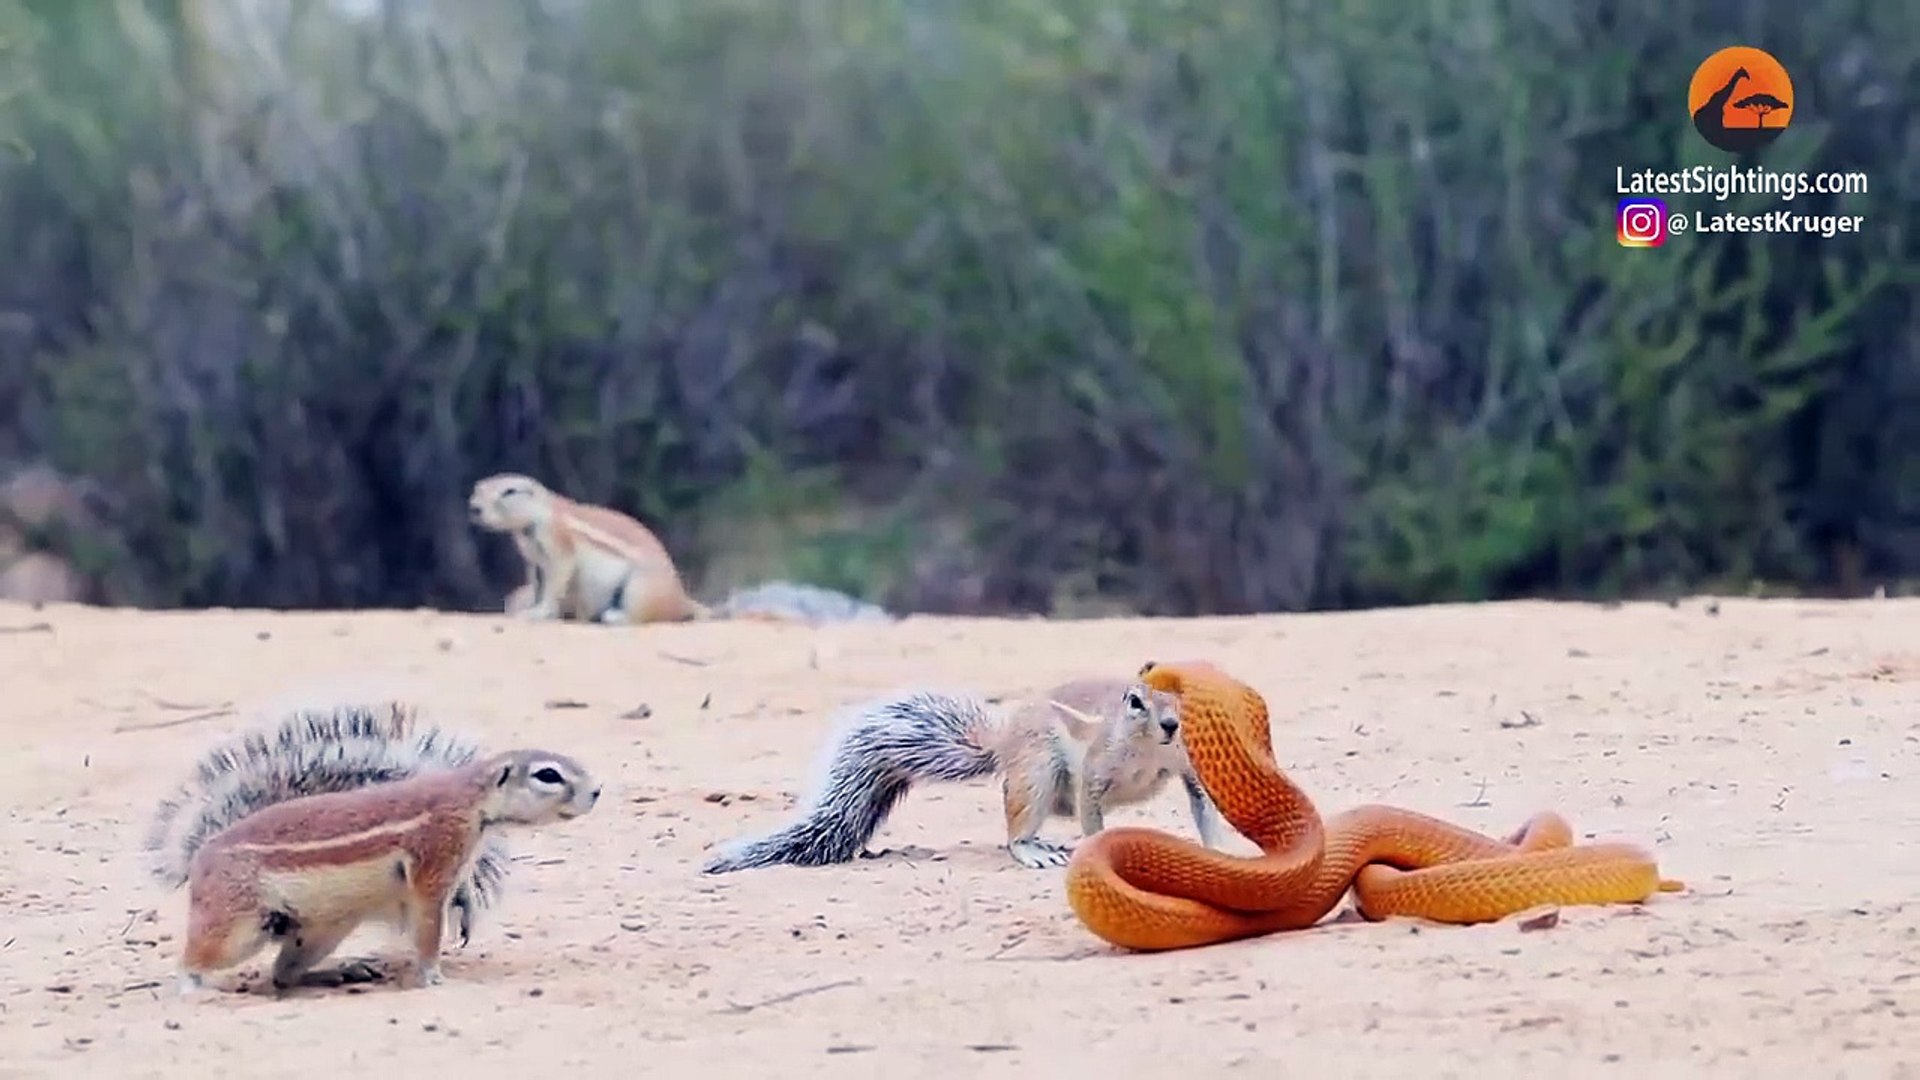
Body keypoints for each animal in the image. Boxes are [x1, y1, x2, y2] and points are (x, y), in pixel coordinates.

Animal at [143, 700, 600, 994]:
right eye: (547, 775)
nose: (596, 791)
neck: (471, 801)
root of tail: (202, 853)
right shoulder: (433, 858)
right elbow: (428, 929)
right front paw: (433, 976)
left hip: (320, 932)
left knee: (283, 973)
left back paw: (339, 972)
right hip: (237, 924)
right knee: (194, 959)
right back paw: (195, 988)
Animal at [467, 473, 892, 625]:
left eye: (508, 491)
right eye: (477, 488)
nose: (473, 507)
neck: (535, 519)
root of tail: (682, 598)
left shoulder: (557, 546)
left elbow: (557, 578)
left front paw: (537, 612)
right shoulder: (533, 560)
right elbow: (540, 582)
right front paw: (528, 608)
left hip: (639, 590)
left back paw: (614, 617)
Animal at [701, 676, 1222, 873]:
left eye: (1185, 693)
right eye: (1135, 701)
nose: (1172, 725)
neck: (1149, 751)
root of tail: (1004, 743)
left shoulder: (1188, 769)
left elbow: (1203, 805)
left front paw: (1218, 848)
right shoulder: (1095, 770)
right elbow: (1090, 811)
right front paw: (1094, 850)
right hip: (1036, 773)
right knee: (1016, 828)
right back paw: (1034, 850)